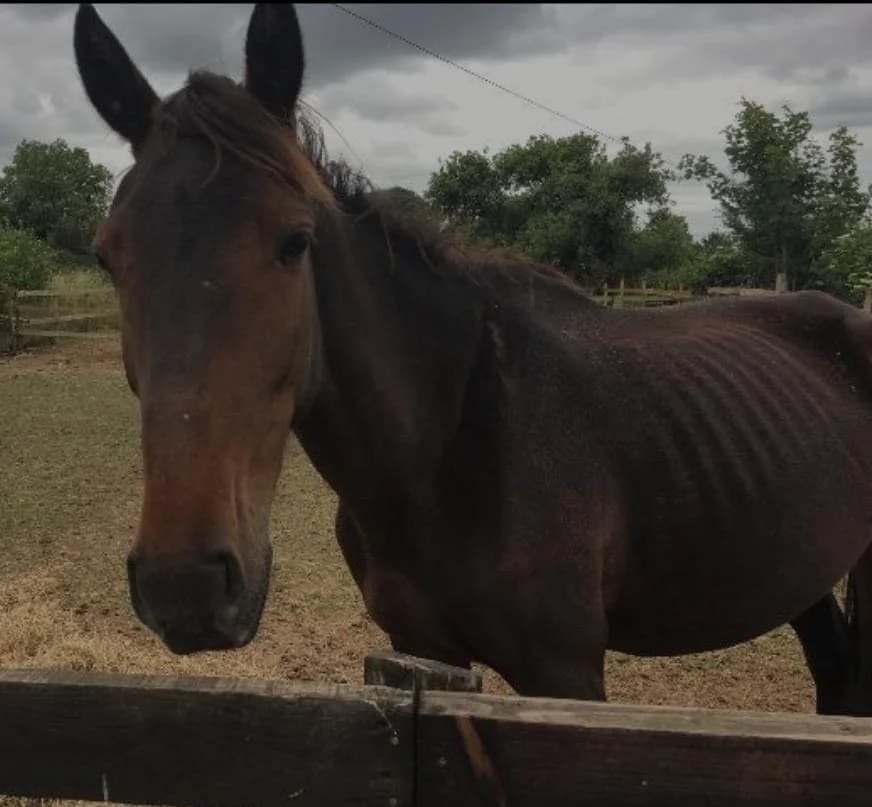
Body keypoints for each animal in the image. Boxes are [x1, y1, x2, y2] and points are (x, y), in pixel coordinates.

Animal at [74, 3, 872, 715]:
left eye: (295, 241)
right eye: (107, 257)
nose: (186, 585)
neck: (454, 441)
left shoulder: (566, 673)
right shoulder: (419, 649)